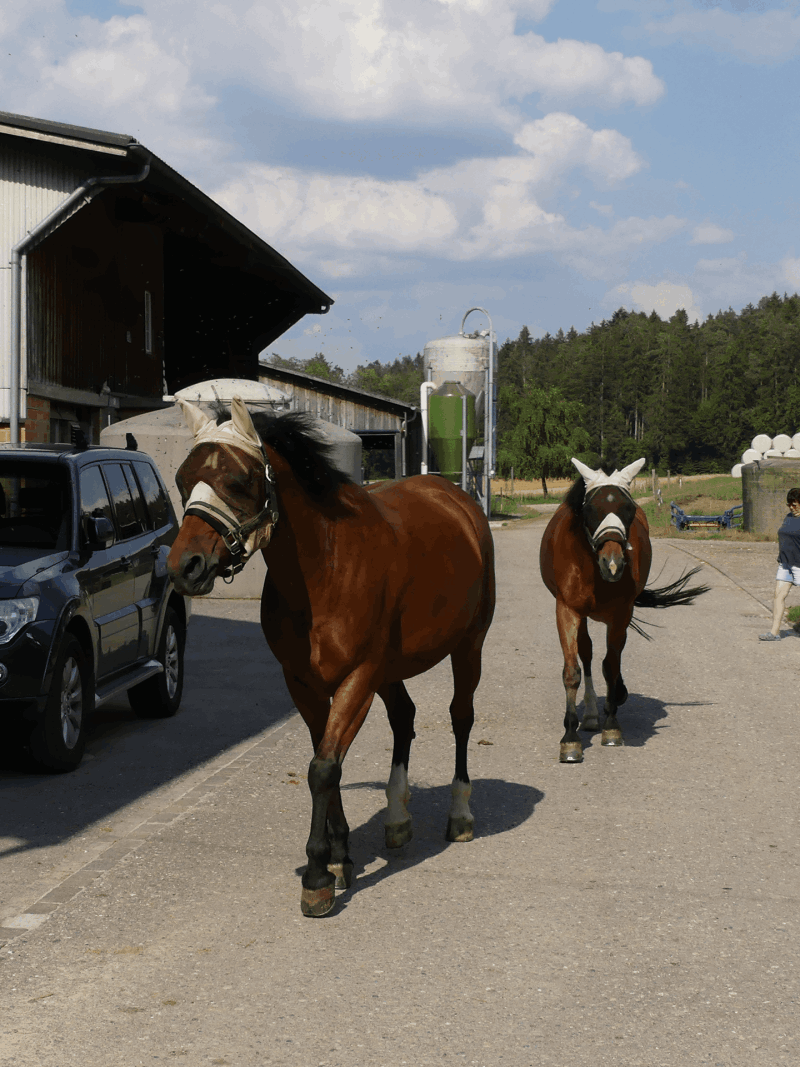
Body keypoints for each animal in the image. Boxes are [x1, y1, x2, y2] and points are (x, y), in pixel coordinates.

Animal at [167, 397, 496, 916]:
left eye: (239, 480)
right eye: (183, 480)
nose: (185, 567)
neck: (327, 567)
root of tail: (459, 501)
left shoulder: (357, 677)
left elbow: (323, 768)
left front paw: (318, 875)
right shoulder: (303, 683)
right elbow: (325, 758)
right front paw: (341, 857)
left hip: (468, 645)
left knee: (461, 717)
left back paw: (460, 814)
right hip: (392, 670)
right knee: (404, 718)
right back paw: (397, 818)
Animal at [539, 457, 708, 764]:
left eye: (628, 509)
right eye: (590, 509)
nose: (613, 563)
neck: (592, 569)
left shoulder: (620, 614)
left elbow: (611, 666)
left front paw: (611, 725)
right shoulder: (567, 610)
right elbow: (573, 671)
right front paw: (570, 738)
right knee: (586, 652)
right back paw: (591, 713)